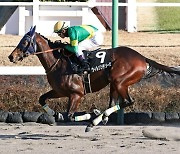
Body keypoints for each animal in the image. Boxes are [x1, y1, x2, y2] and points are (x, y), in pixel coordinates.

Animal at [8, 26, 180, 131]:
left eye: (25, 41)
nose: (11, 56)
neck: (58, 62)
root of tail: (142, 57)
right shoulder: (59, 91)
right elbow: (42, 99)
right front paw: (56, 114)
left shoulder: (76, 94)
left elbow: (69, 116)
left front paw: (89, 115)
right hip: (114, 83)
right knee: (115, 103)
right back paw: (100, 117)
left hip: (119, 81)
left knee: (128, 101)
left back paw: (94, 120)